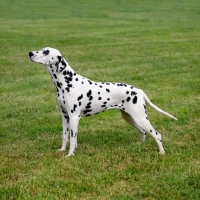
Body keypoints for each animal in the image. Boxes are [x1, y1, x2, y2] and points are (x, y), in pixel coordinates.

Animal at [28, 47, 177, 157]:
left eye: (46, 52)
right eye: (42, 49)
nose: (30, 53)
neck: (66, 82)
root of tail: (139, 90)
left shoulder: (74, 117)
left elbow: (73, 138)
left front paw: (70, 155)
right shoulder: (65, 116)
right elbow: (65, 137)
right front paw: (62, 150)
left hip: (140, 118)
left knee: (157, 134)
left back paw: (161, 152)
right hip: (130, 118)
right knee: (143, 132)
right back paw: (140, 144)